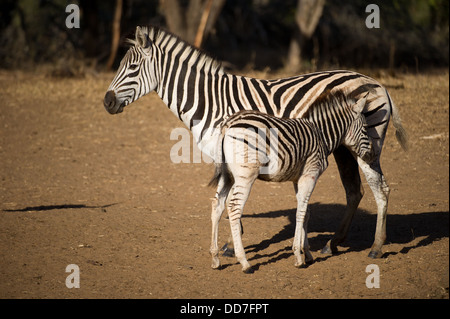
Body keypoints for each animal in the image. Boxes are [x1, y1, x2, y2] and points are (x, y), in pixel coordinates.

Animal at [209, 91, 370, 274]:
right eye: (366, 128)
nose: (370, 154)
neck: (322, 135)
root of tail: (228, 123)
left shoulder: (297, 178)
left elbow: (306, 212)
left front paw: (307, 254)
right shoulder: (310, 174)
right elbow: (301, 212)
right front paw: (298, 256)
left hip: (227, 175)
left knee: (217, 205)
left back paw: (215, 258)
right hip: (246, 174)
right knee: (234, 207)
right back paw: (244, 262)